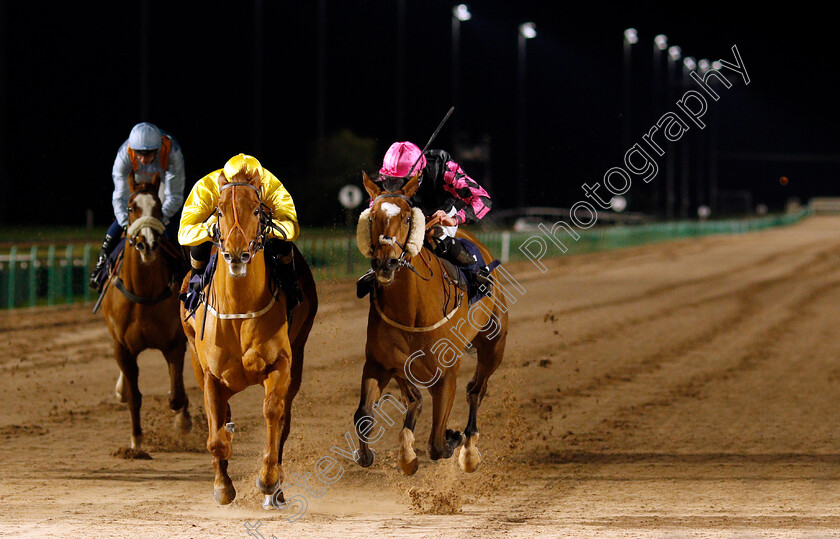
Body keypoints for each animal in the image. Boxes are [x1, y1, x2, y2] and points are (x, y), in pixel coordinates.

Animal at [100, 174, 190, 456]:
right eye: (131, 207)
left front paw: (183, 422)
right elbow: (135, 395)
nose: (147, 244)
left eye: (159, 207)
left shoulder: (175, 343)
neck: (144, 292)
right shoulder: (122, 347)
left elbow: (177, 395)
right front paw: (136, 441)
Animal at [179, 171, 316, 508]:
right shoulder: (211, 374)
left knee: (283, 419)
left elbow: (273, 412)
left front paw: (268, 480)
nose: (237, 253)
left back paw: (275, 491)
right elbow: (216, 436)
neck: (239, 309)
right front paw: (223, 484)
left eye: (256, 210)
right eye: (219, 211)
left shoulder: (281, 363)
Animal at [352, 173, 506, 476]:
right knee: (414, 398)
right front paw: (375, 454)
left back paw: (468, 449)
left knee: (476, 391)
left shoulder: (447, 373)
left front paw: (452, 438)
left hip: (494, 345)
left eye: (407, 217)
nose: (385, 262)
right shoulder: (379, 362)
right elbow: (364, 415)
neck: (411, 307)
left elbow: (436, 443)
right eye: (372, 217)